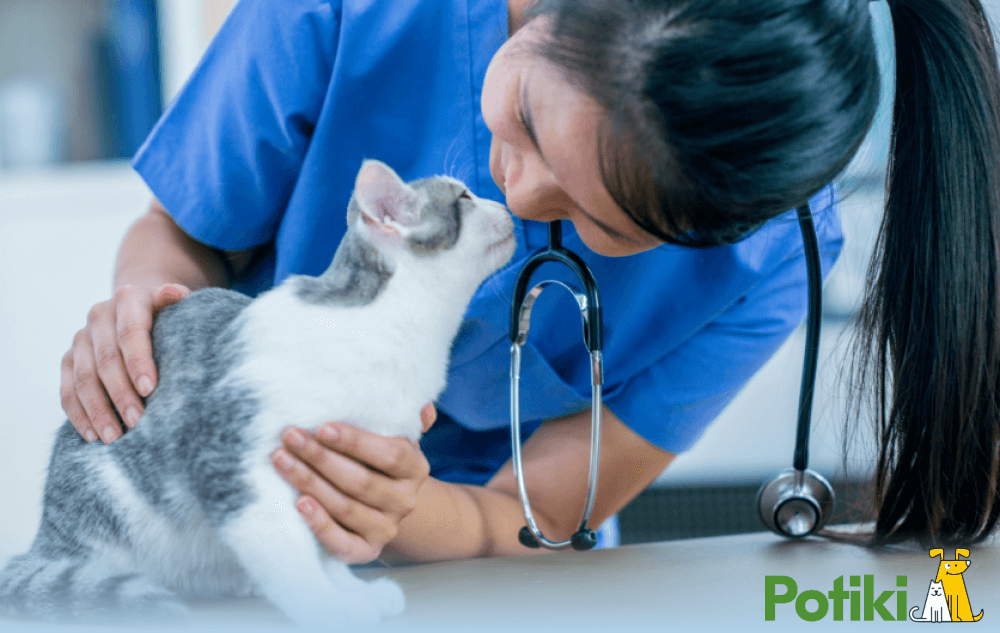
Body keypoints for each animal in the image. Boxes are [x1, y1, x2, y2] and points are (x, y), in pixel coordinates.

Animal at [0, 159, 516, 628]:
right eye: (464, 197)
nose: (504, 203)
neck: (397, 328)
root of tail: (49, 536)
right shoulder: (230, 455)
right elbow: (287, 546)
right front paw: (326, 605)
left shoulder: (330, 477)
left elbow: (324, 545)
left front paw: (349, 591)